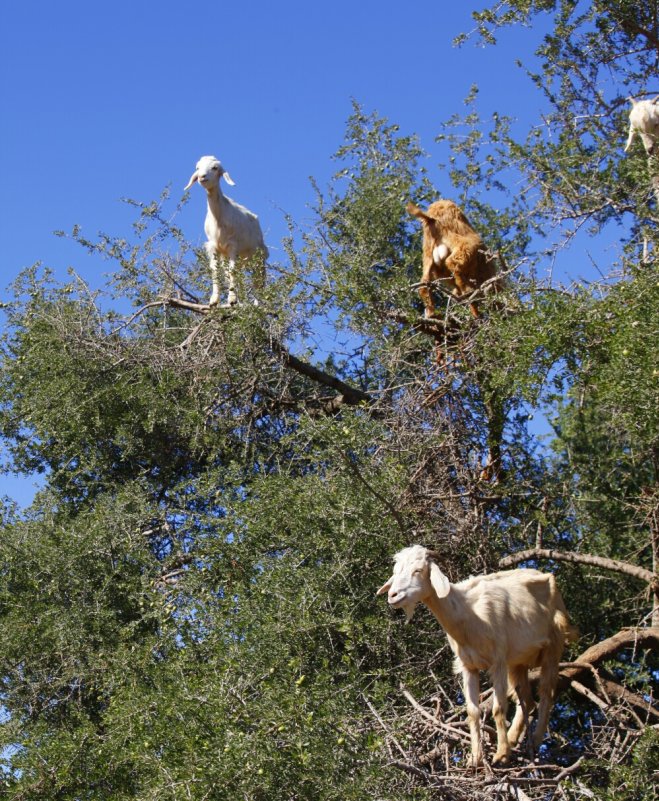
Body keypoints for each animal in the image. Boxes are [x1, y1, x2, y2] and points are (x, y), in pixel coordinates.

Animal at [183, 155, 268, 306]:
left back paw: (257, 304)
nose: (202, 177)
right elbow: (216, 271)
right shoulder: (214, 246)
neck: (218, 218)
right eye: (197, 168)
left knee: (258, 280)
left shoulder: (233, 245)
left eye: (215, 168)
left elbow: (232, 271)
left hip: (259, 256)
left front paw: (232, 299)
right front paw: (214, 300)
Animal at [376, 548, 576, 764]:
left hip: (553, 645)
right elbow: (472, 711)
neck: (469, 614)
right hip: (518, 662)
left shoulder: (498, 662)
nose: (393, 595)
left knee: (547, 693)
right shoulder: (468, 666)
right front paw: (475, 758)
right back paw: (514, 739)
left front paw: (501, 754)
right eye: (395, 571)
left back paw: (535, 741)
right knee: (528, 700)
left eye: (418, 570)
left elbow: (498, 708)